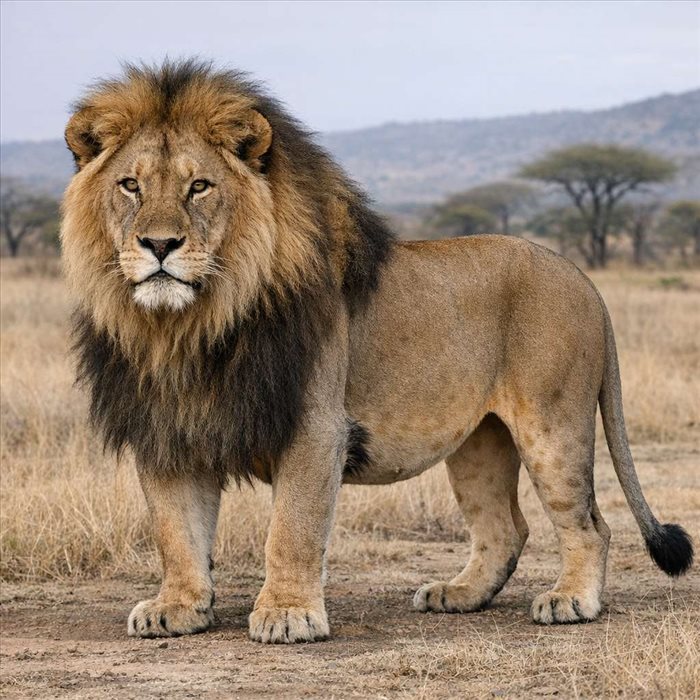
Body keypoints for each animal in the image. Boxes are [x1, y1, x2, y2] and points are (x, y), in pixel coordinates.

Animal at [61, 60, 693, 643]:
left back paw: (571, 601)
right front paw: (178, 606)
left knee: (590, 524)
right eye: (131, 186)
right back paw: (458, 595)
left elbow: (291, 529)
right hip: (479, 441)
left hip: (552, 427)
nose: (159, 244)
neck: (191, 326)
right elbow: (176, 530)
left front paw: (288, 614)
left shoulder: (316, 426)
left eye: (199, 187)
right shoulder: (166, 428)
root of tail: (583, 278)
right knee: (505, 528)